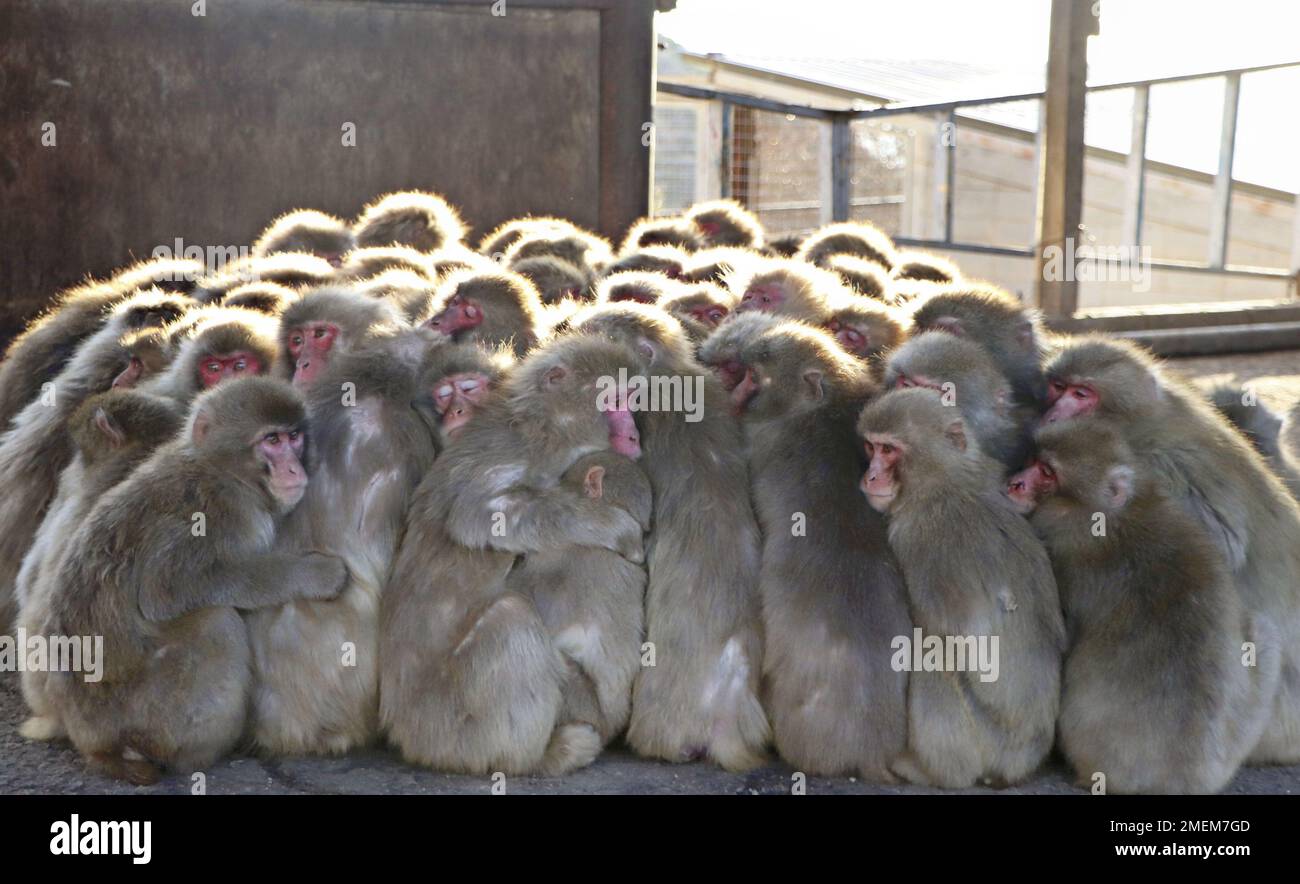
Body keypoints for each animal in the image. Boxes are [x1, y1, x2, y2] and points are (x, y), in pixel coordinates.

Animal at [858, 388, 1065, 787]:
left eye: (889, 450)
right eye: (870, 446)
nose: (870, 476)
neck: (945, 479)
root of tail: (1021, 763)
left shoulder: (919, 537)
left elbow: (950, 632)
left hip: (984, 741)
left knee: (932, 654)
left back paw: (934, 770)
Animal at [1007, 418, 1279, 793]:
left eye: (1047, 472)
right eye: (1033, 460)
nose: (1015, 482)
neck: (1112, 513)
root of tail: (1181, 778)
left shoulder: (1064, 547)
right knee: (1263, 630)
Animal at [1041, 336, 1300, 764]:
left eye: (1082, 394)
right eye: (1057, 388)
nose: (1051, 415)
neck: (1145, 423)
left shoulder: (1161, 468)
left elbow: (1218, 547)